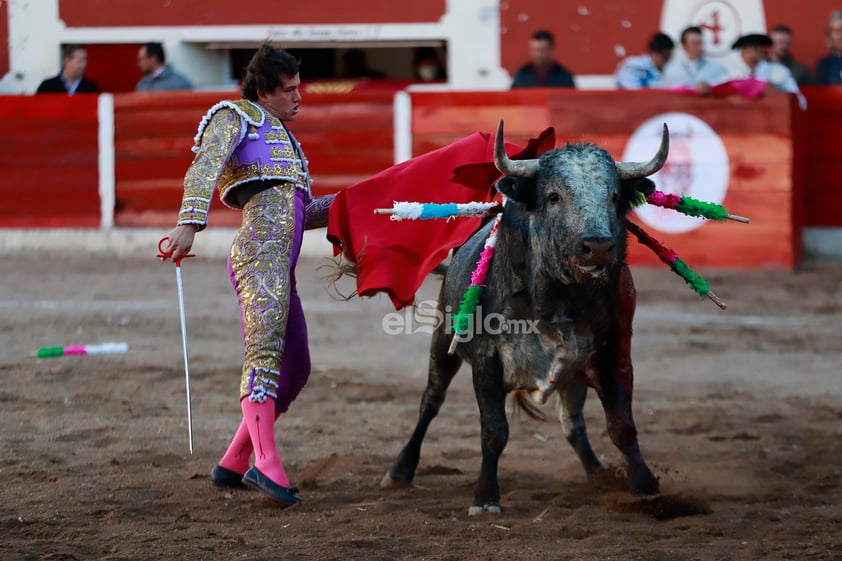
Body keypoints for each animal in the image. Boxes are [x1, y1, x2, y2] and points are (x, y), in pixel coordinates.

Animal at [382, 120, 668, 516]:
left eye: (613, 197)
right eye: (553, 196)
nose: (597, 246)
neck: (561, 298)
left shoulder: (615, 351)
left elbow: (622, 426)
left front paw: (644, 486)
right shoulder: (486, 360)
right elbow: (494, 431)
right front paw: (485, 498)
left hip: (573, 375)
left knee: (573, 423)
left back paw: (597, 474)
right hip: (442, 340)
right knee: (431, 401)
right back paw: (400, 471)